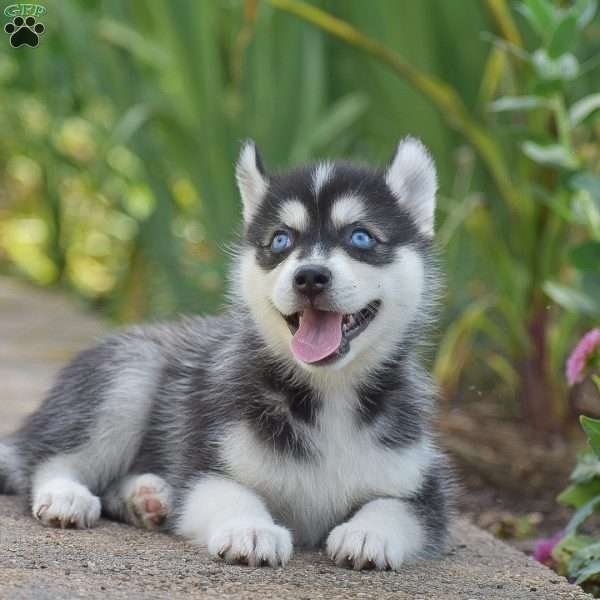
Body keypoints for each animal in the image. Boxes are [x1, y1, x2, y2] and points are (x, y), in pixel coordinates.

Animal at [0, 137, 452, 572]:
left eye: (360, 237)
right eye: (281, 240)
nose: (309, 276)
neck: (329, 394)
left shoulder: (428, 485)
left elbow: (395, 507)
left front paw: (367, 534)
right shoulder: (207, 461)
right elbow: (232, 494)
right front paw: (250, 530)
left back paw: (147, 497)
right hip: (127, 376)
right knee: (46, 459)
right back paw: (68, 495)